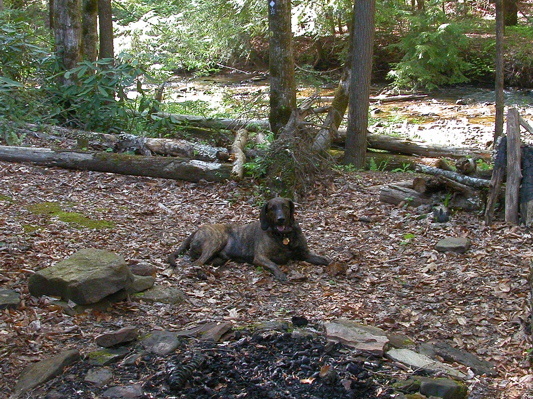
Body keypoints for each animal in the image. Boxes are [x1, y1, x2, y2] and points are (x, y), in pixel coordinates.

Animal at [169, 198, 328, 282]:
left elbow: (325, 260)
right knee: (196, 263)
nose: (281, 219)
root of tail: (197, 229)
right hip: (215, 241)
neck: (283, 236)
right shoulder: (260, 257)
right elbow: (273, 265)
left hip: (219, 257)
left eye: (284, 206)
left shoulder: (305, 254)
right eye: (272, 208)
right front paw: (280, 274)